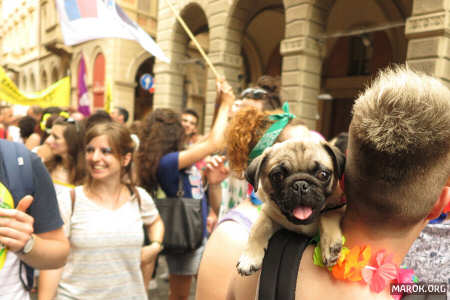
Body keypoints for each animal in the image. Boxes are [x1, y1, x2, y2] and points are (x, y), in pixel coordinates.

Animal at [236, 137, 344, 276]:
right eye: (277, 176)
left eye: (323, 174)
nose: (300, 185)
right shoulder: (268, 213)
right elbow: (258, 229)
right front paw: (249, 258)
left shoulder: (340, 205)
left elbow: (327, 215)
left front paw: (330, 245)